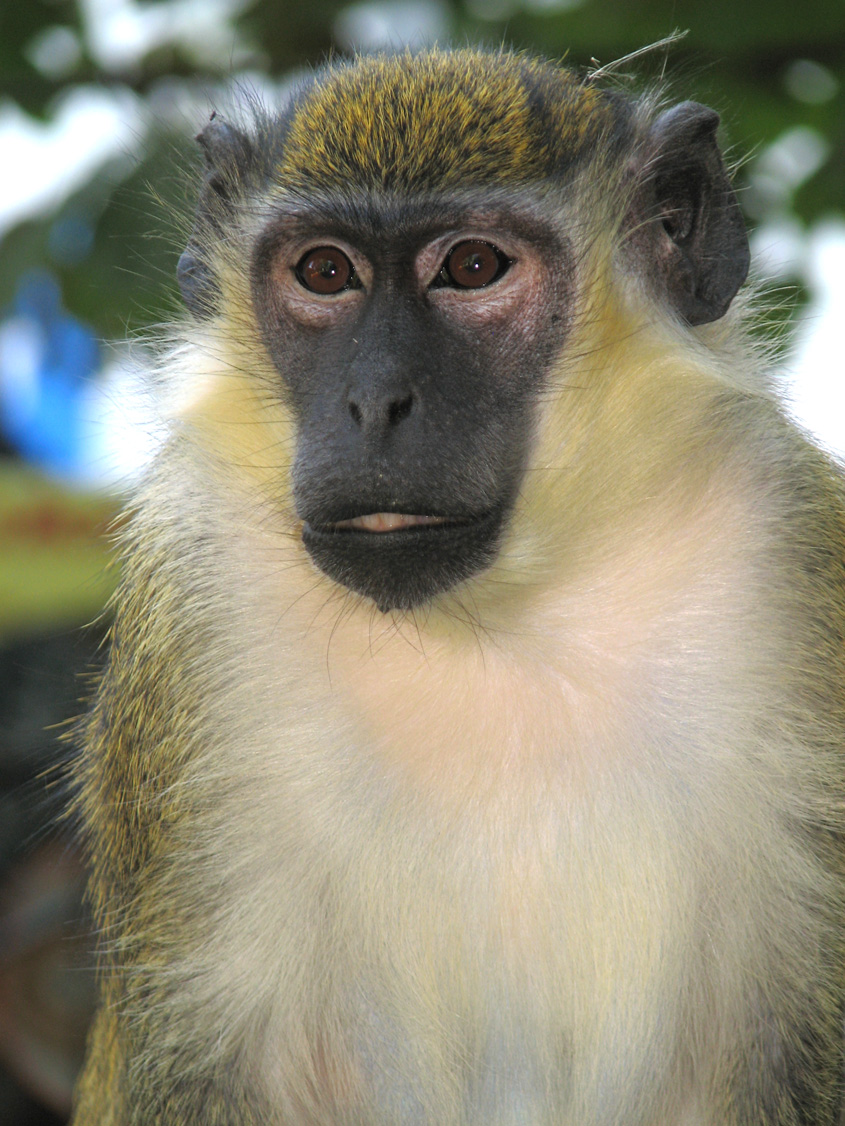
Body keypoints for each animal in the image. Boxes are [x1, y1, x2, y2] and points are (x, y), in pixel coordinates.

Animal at [69, 46, 845, 1126]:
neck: (496, 617)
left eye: (473, 267)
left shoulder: (787, 551)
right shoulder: (191, 598)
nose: (373, 402)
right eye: (324, 272)